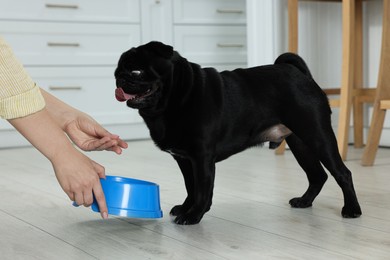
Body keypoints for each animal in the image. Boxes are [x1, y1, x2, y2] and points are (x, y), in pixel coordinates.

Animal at [114, 41, 362, 224]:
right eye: (117, 70)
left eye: (136, 71)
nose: (120, 78)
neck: (177, 96)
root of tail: (300, 74)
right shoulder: (184, 160)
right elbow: (190, 187)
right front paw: (186, 208)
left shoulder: (201, 158)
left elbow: (202, 188)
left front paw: (194, 215)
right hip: (300, 143)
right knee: (317, 175)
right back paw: (305, 201)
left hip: (317, 135)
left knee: (342, 173)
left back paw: (352, 209)